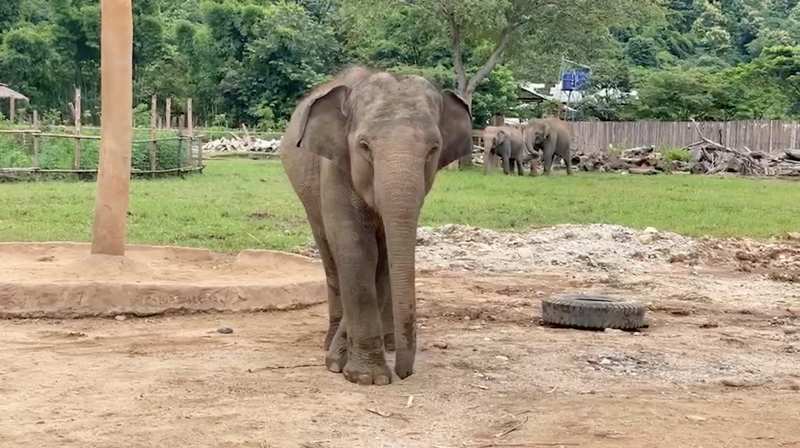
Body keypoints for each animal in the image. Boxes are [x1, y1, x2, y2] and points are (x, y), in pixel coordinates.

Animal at [280, 65, 472, 384]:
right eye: (364, 146)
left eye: (434, 149)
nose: (405, 374)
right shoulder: (335, 168)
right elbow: (356, 249)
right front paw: (365, 376)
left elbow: (383, 262)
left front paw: (348, 363)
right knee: (329, 254)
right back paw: (332, 340)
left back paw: (389, 343)